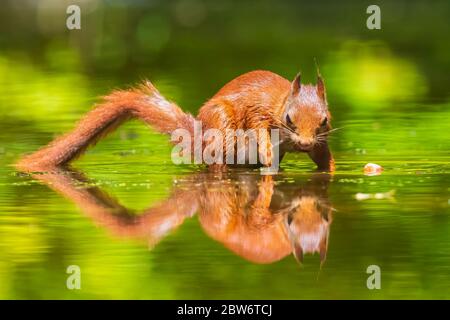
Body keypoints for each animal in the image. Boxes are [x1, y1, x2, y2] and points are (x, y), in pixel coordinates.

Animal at [15, 70, 334, 172]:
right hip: (223, 129)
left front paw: (331, 168)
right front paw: (268, 153)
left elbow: (323, 157)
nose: (304, 142)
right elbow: (260, 129)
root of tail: (199, 136)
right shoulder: (259, 113)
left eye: (325, 119)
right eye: (289, 118)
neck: (280, 101)